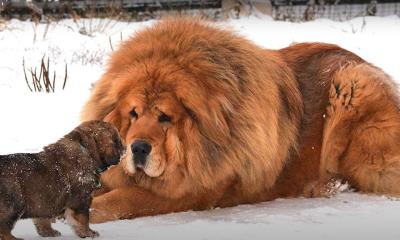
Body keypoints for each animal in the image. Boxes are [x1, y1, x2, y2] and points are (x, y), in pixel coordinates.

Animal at [80, 17, 400, 223]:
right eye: (133, 113)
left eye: (165, 117)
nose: (137, 148)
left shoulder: (188, 192)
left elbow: (120, 199)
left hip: (353, 85)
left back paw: (325, 186)